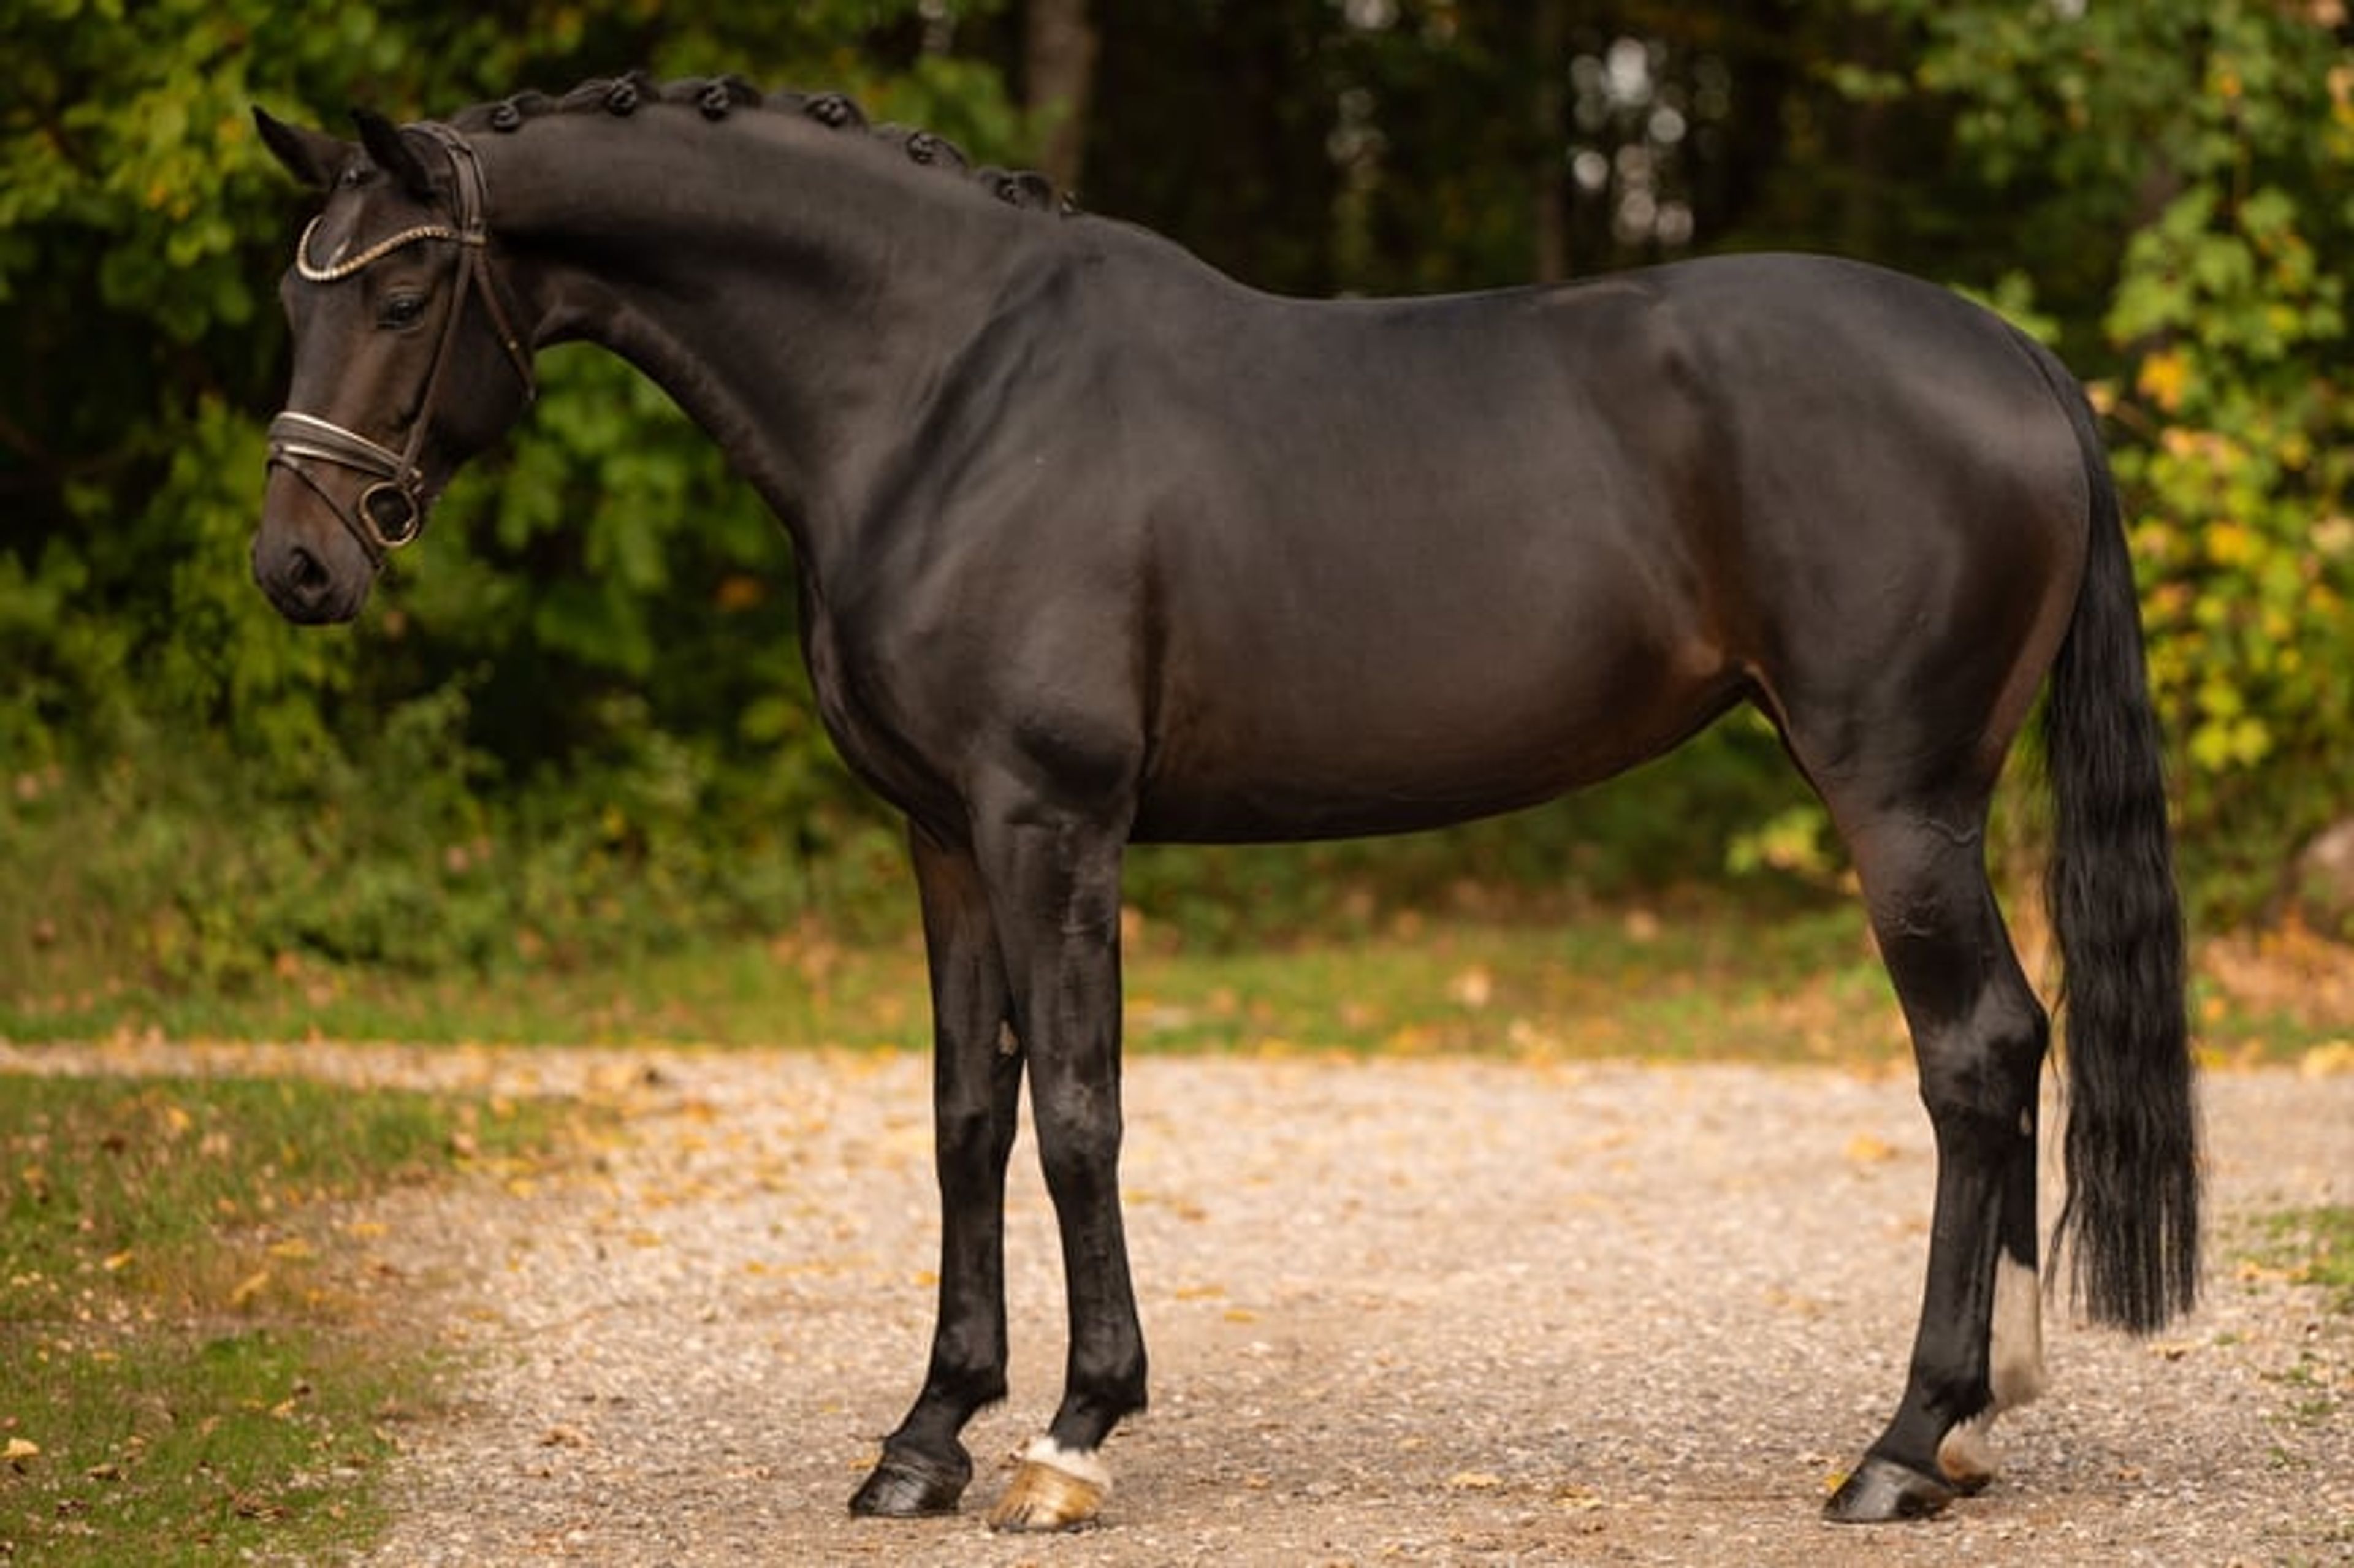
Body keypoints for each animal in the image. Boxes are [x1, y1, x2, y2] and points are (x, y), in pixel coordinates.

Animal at [249, 74, 2199, 1531]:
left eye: (402, 297)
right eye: (296, 295)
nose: (296, 565)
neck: (941, 391)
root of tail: (2010, 355)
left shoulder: (1050, 822)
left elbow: (1076, 1115)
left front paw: (1069, 1434)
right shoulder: (941, 835)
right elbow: (964, 1115)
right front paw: (924, 1435)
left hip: (1895, 799)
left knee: (1973, 1054)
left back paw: (1905, 1441)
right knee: (2006, 1048)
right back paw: (1972, 1420)